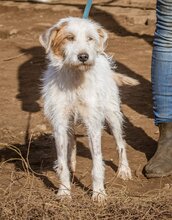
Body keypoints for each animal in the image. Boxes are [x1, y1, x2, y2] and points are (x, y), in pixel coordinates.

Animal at [39, 17, 135, 203]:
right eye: (69, 37)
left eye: (90, 38)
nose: (84, 56)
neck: (76, 77)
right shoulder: (60, 123)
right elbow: (62, 162)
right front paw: (64, 191)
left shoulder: (93, 124)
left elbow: (97, 163)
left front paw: (99, 193)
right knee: (72, 141)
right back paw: (72, 163)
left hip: (112, 115)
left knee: (121, 143)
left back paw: (124, 170)